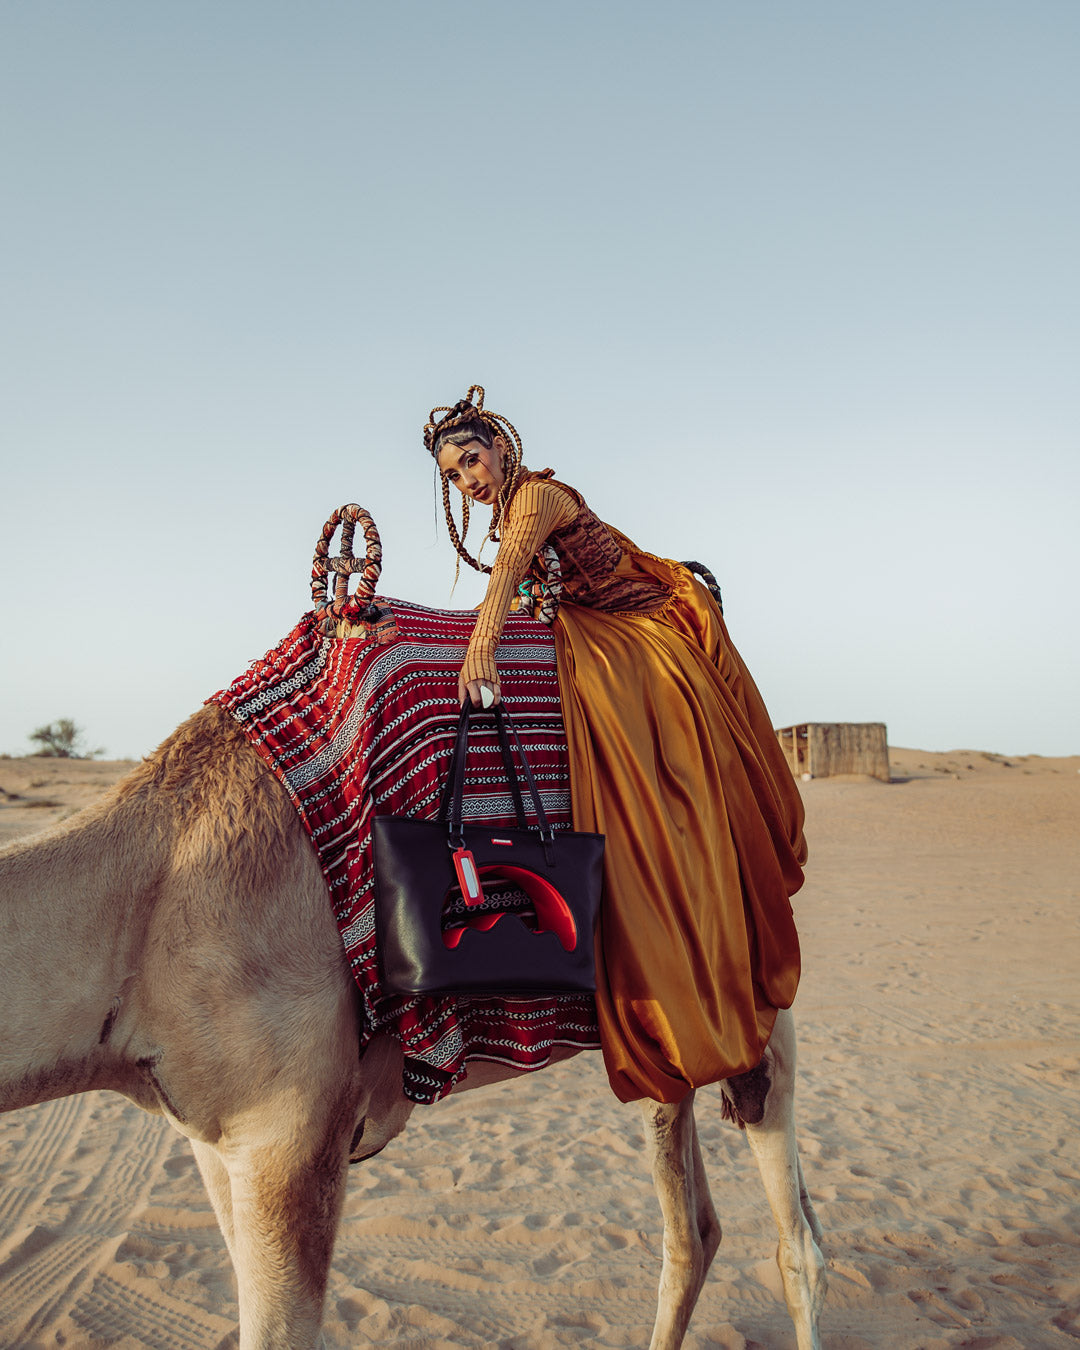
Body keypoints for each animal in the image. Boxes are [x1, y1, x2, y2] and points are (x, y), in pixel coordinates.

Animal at [0, 507, 826, 1350]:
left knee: (797, 1240)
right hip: (666, 1030)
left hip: (756, 990)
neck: (148, 910)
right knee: (694, 1230)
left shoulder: (291, 1137)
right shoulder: (210, 1140)